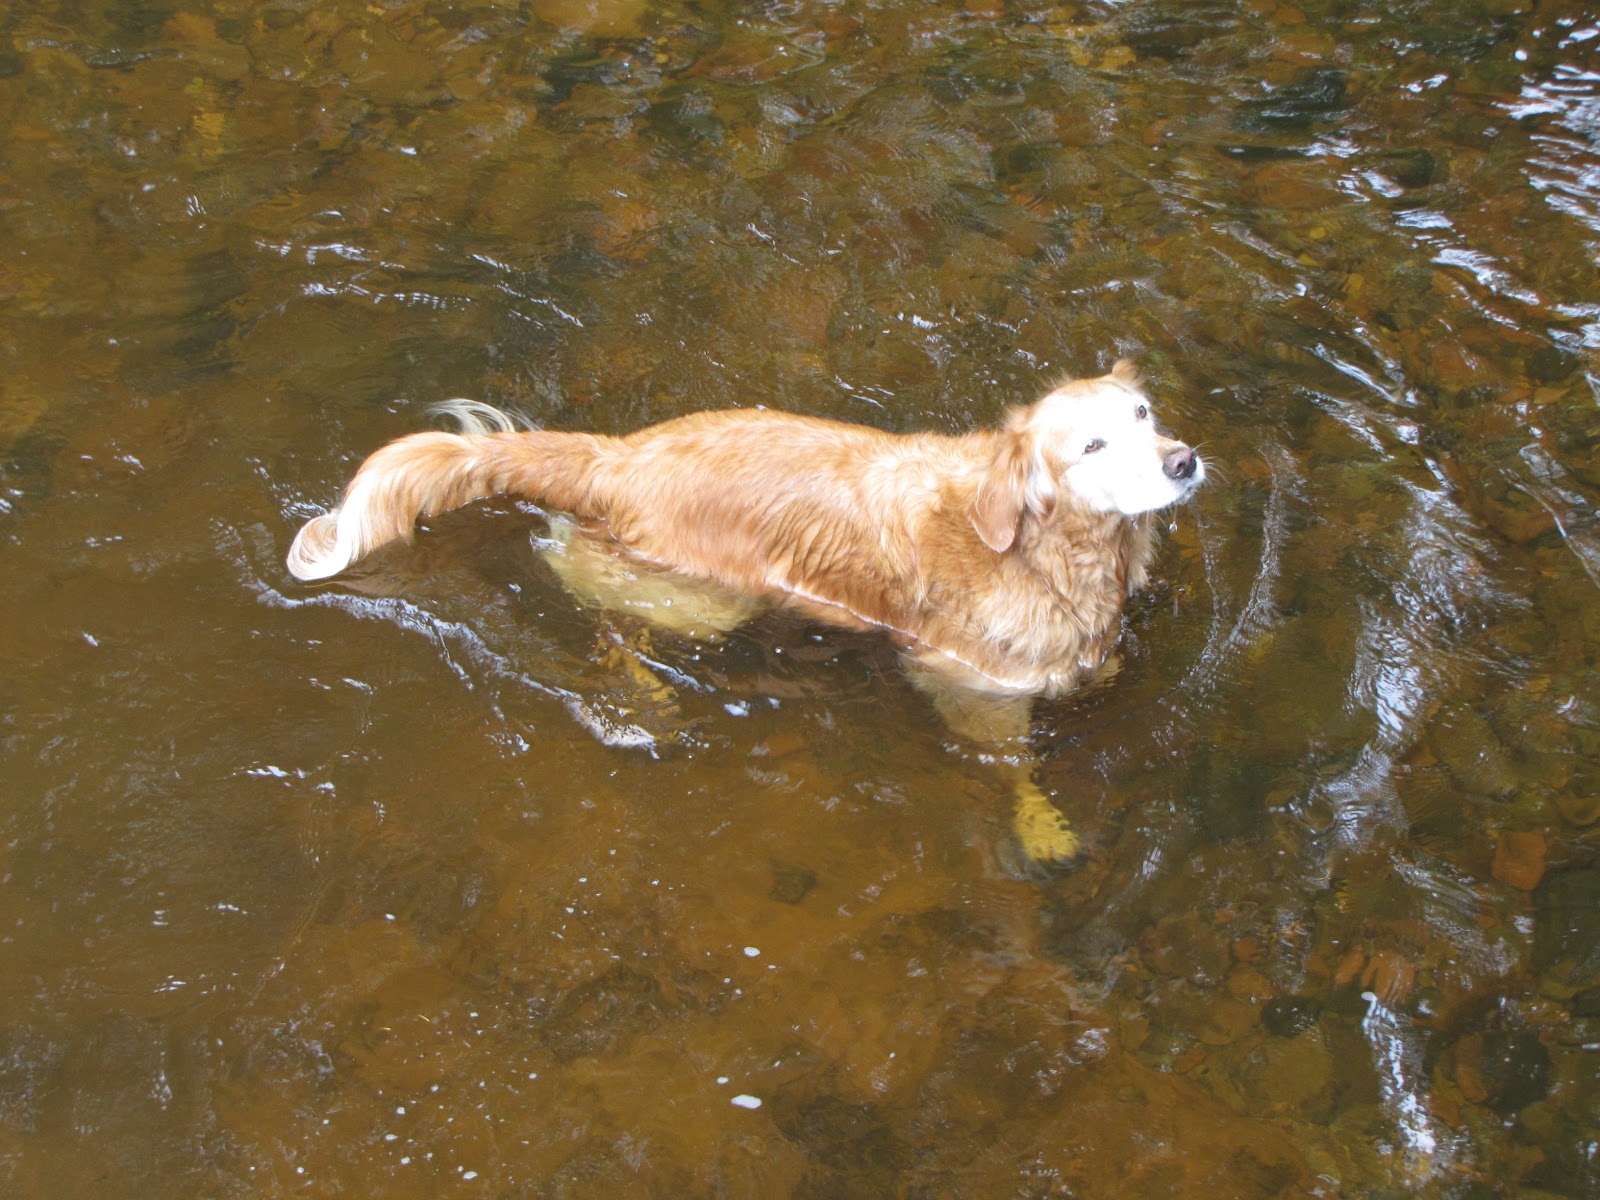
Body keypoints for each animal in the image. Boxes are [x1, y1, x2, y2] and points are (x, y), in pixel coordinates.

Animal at [287, 359, 1205, 865]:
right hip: (697, 603)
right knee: (614, 628)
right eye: (1092, 446)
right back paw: (645, 696)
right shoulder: (972, 691)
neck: (1040, 549)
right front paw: (1044, 829)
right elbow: (1013, 769)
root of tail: (615, 459)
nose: (1185, 460)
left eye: (1144, 415)